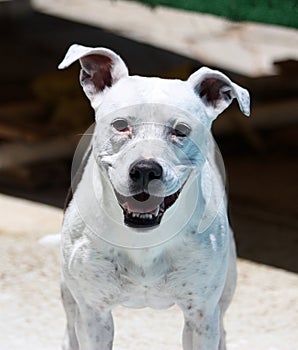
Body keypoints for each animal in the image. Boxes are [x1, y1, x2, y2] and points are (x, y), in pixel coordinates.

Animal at [58, 44, 249, 350]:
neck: (144, 240)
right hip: (69, 295)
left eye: (180, 131)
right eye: (121, 125)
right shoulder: (93, 315)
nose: (146, 169)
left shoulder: (201, 317)